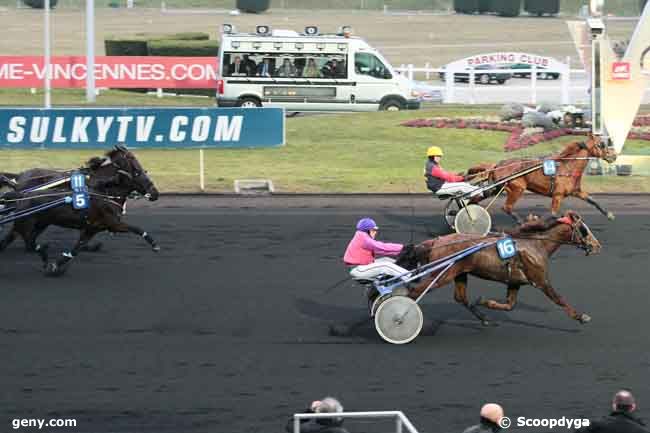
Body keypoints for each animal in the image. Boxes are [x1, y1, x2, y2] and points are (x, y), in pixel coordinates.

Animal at [0, 144, 160, 274]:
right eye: (132, 159)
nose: (155, 194)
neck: (104, 190)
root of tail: (19, 178)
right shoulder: (112, 223)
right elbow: (137, 229)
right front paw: (155, 245)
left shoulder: (93, 226)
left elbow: (78, 247)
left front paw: (60, 263)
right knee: (23, 239)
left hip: (40, 222)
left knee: (20, 238)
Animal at [394, 211, 604, 326]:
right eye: (584, 229)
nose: (597, 246)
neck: (536, 244)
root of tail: (436, 241)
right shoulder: (540, 280)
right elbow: (559, 299)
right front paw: (581, 316)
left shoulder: (515, 282)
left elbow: (510, 305)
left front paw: (485, 302)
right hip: (441, 275)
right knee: (414, 292)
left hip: (459, 273)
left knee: (460, 297)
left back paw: (484, 318)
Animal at [466, 134, 612, 223]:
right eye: (601, 144)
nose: (613, 155)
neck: (568, 166)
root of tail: (498, 165)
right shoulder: (558, 195)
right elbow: (553, 214)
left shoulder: (576, 191)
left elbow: (592, 200)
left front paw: (609, 214)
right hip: (517, 188)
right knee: (506, 207)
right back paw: (521, 222)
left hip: (496, 187)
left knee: (477, 198)